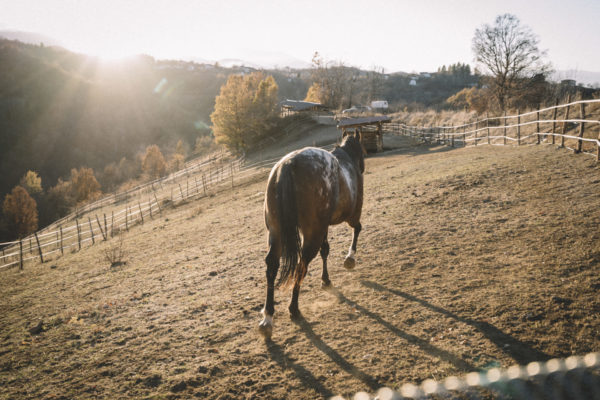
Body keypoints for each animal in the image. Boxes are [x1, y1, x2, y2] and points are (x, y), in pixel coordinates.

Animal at [258, 131, 366, 338]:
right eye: (363, 151)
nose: (362, 168)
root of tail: (289, 164)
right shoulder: (352, 215)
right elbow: (357, 229)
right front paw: (350, 259)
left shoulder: (324, 227)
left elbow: (326, 250)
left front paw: (326, 280)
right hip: (312, 234)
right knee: (302, 264)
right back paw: (294, 308)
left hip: (277, 233)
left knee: (272, 266)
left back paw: (268, 317)